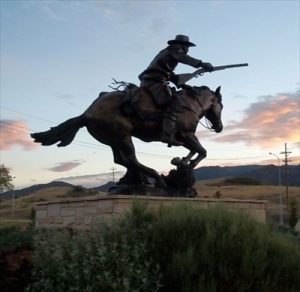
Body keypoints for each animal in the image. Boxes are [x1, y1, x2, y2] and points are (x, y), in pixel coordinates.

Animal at [31, 84, 223, 187]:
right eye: (221, 105)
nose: (219, 127)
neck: (189, 105)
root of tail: (87, 114)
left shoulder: (184, 138)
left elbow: (195, 151)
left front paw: (181, 161)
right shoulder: (186, 135)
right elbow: (202, 151)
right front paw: (184, 163)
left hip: (113, 140)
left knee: (121, 160)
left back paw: (142, 180)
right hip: (123, 137)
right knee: (131, 159)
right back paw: (155, 179)